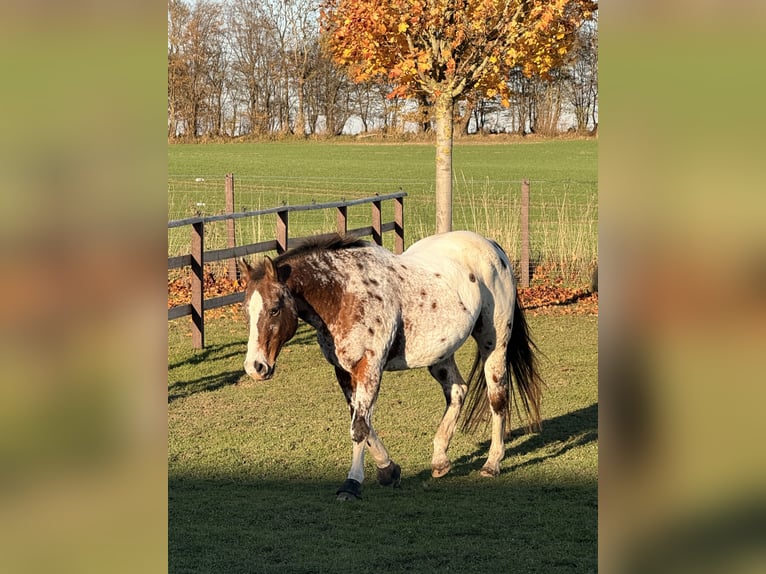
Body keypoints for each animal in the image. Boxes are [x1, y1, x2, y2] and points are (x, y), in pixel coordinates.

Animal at [238, 230, 543, 501]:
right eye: (246, 311)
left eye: (274, 309)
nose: (256, 367)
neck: (343, 294)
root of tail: (492, 246)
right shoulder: (344, 372)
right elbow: (362, 422)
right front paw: (388, 470)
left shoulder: (370, 367)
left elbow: (360, 427)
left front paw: (352, 484)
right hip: (440, 353)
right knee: (457, 391)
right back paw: (440, 459)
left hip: (494, 344)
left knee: (497, 398)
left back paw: (492, 463)